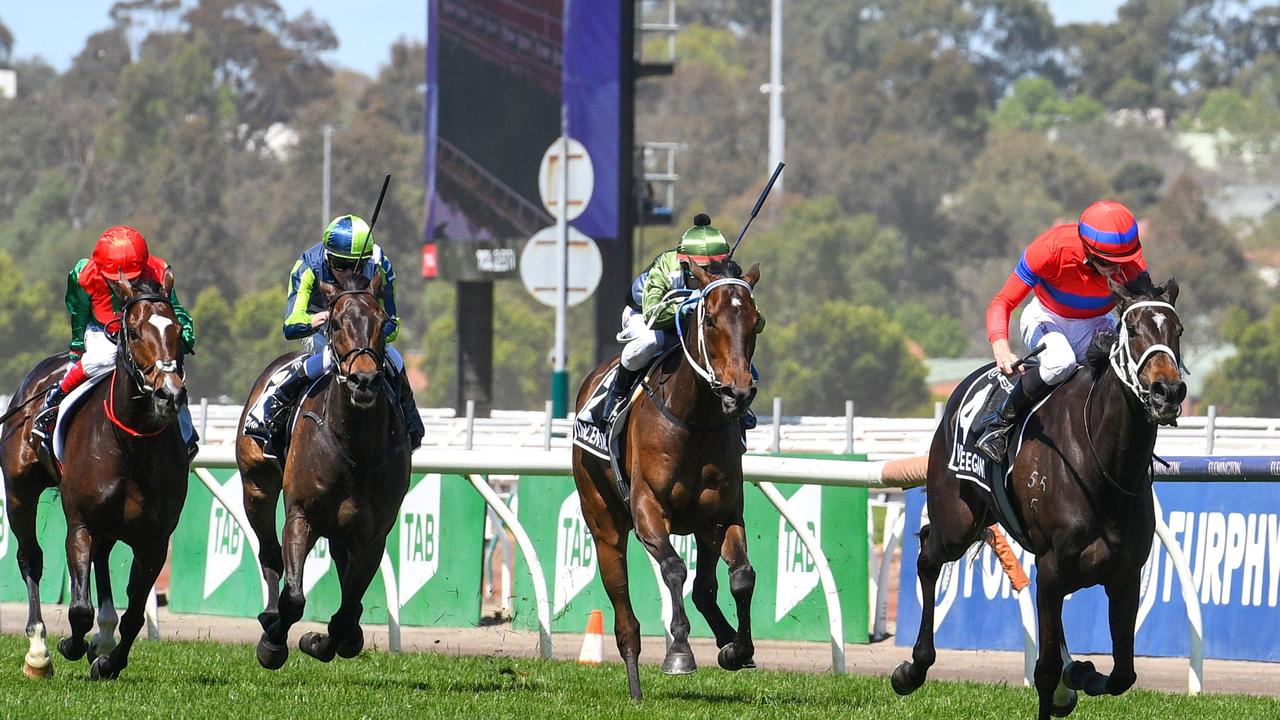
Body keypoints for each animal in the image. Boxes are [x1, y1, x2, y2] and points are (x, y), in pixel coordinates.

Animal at [570, 260, 757, 696]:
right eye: (710, 320)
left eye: (757, 321)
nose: (738, 394)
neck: (695, 421)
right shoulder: (647, 510)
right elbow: (673, 569)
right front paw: (680, 652)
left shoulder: (722, 515)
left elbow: (742, 576)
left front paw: (738, 649)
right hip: (603, 525)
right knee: (624, 616)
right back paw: (635, 686)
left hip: (702, 528)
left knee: (705, 589)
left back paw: (726, 640)